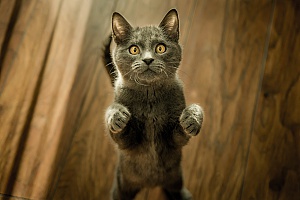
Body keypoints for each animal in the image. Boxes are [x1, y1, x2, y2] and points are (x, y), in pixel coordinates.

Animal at [103, 9, 204, 200]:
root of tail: (151, 184)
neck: (150, 97)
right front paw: (117, 116)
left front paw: (192, 118)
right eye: (134, 49)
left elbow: (183, 130)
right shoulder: (126, 145)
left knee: (176, 188)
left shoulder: (174, 142)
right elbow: (118, 127)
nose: (148, 60)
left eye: (160, 48)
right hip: (122, 183)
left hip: (175, 176)